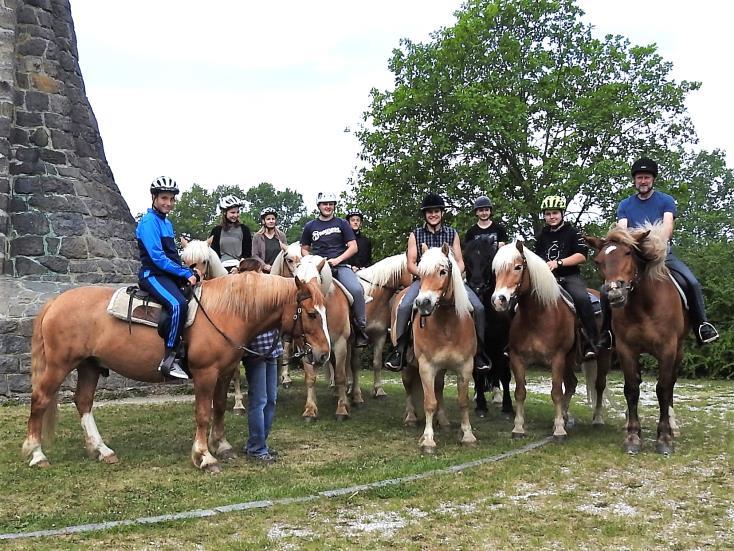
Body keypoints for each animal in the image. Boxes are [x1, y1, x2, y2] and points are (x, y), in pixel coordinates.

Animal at [20, 260, 330, 472]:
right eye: (311, 314)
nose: (323, 354)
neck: (227, 310)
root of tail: (54, 302)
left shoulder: (225, 372)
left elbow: (219, 408)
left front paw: (222, 446)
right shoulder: (205, 374)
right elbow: (203, 413)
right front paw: (204, 456)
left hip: (89, 366)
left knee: (83, 402)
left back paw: (101, 450)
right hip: (59, 365)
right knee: (40, 399)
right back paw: (37, 454)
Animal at [396, 246, 478, 452]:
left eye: (443, 271)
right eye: (420, 273)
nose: (423, 303)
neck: (447, 325)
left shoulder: (465, 366)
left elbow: (463, 401)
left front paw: (467, 435)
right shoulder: (426, 367)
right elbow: (429, 402)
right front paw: (428, 440)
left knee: (439, 388)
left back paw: (444, 421)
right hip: (408, 367)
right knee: (409, 387)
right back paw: (410, 417)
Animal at [466, 236, 512, 414]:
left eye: (488, 260)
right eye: (468, 260)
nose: (477, 286)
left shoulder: (502, 343)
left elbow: (504, 373)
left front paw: (507, 406)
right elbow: (477, 373)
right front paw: (480, 405)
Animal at [492, 240, 584, 440]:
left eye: (518, 267)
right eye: (495, 271)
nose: (499, 300)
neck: (538, 316)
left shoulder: (557, 359)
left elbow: (556, 392)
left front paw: (559, 430)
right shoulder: (517, 358)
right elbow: (520, 392)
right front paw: (518, 428)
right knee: (571, 384)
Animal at [584, 222, 688, 454]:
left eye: (628, 252)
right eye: (598, 261)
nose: (615, 293)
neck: (644, 305)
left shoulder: (668, 349)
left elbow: (663, 389)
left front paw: (665, 438)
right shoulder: (626, 349)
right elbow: (631, 389)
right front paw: (633, 437)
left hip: (679, 350)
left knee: (671, 384)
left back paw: (674, 425)